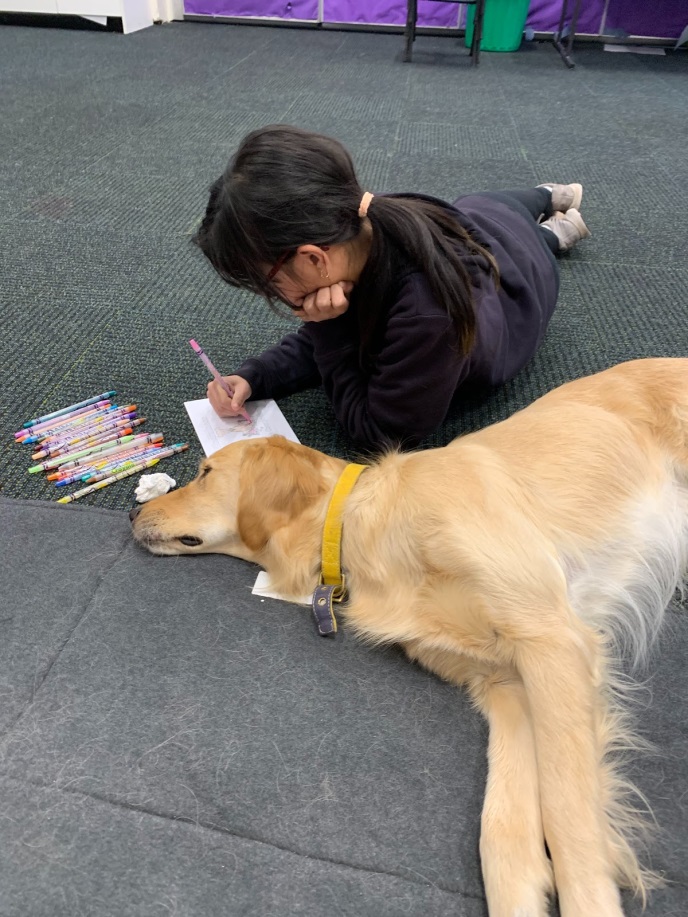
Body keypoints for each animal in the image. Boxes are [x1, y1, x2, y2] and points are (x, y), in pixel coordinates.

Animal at [130, 360, 688, 916]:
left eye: (206, 474)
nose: (132, 513)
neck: (362, 526)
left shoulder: (550, 639)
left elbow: (567, 817)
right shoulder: (505, 684)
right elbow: (502, 837)